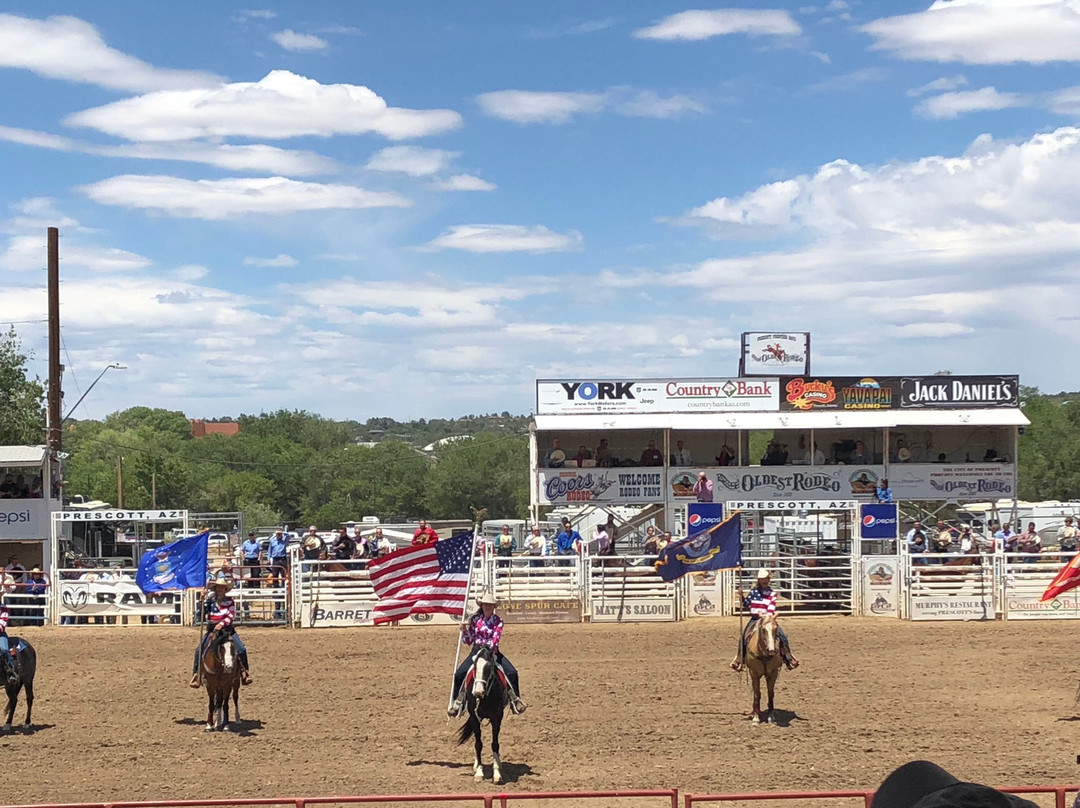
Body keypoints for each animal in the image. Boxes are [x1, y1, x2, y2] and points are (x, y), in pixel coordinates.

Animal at [455, 643, 505, 782]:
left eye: (489, 667)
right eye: (475, 667)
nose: (478, 692)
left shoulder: (497, 718)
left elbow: (495, 744)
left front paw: (497, 774)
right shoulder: (474, 718)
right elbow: (478, 744)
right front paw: (479, 772)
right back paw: (476, 764)